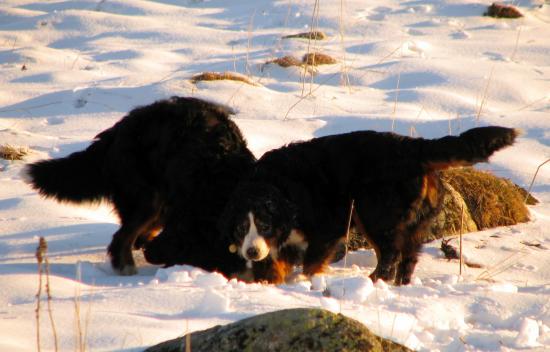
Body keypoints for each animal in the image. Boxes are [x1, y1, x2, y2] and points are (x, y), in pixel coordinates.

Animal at [219, 125, 516, 284]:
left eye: (265, 225)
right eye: (241, 228)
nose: (251, 252)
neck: (277, 186)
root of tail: (412, 147)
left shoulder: (328, 228)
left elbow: (312, 261)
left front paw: (305, 281)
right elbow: (275, 262)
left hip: (373, 212)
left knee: (390, 254)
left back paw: (374, 280)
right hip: (410, 220)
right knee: (408, 256)